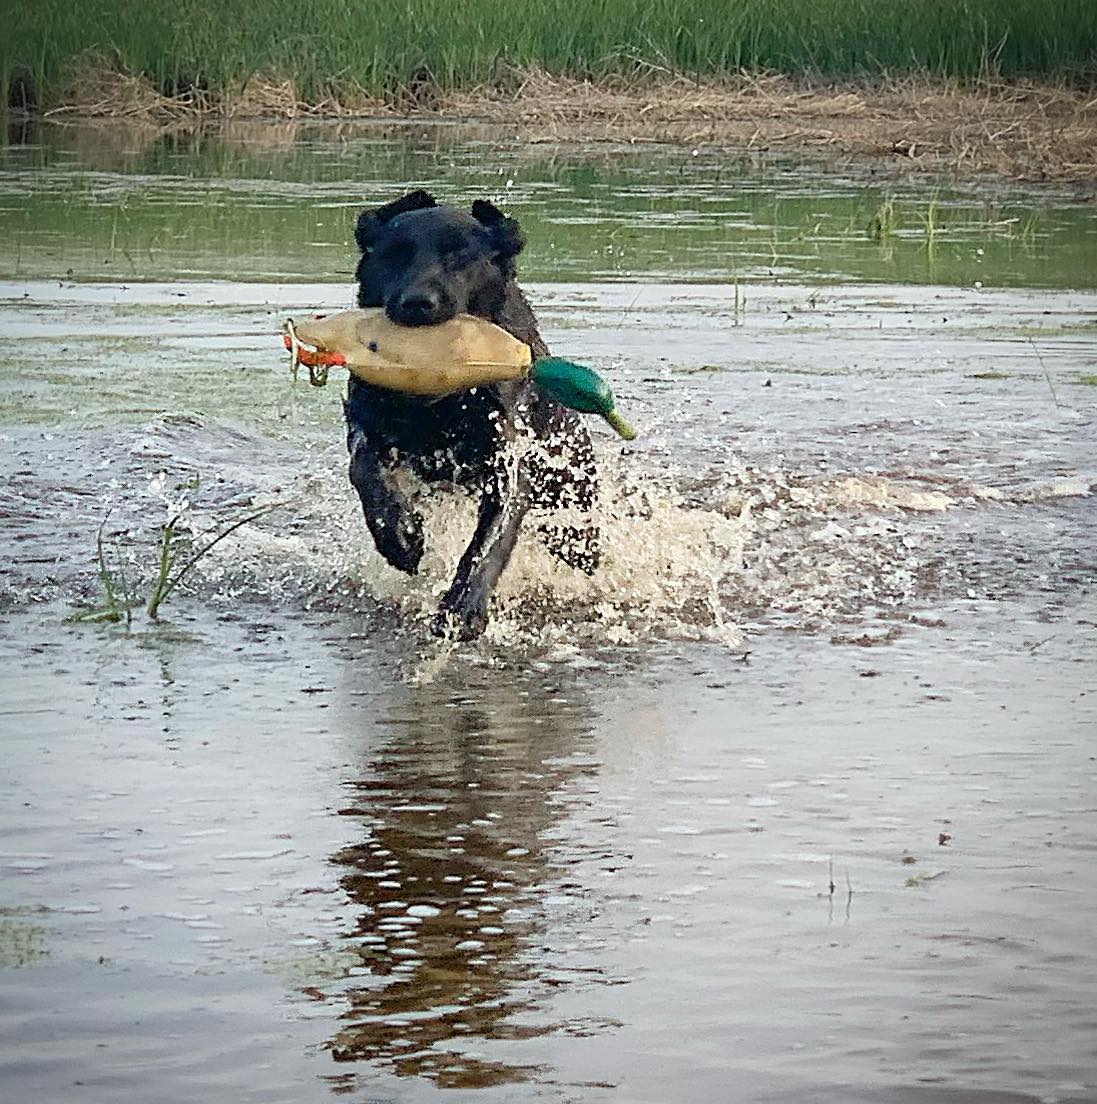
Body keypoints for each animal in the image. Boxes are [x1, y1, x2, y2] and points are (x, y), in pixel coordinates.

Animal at [344, 190, 595, 640]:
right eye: (396, 253)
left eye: (460, 256)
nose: (417, 303)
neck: (439, 400)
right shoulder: (367, 425)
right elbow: (366, 471)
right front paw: (401, 537)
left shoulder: (507, 467)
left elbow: (488, 543)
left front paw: (463, 606)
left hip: (574, 515)